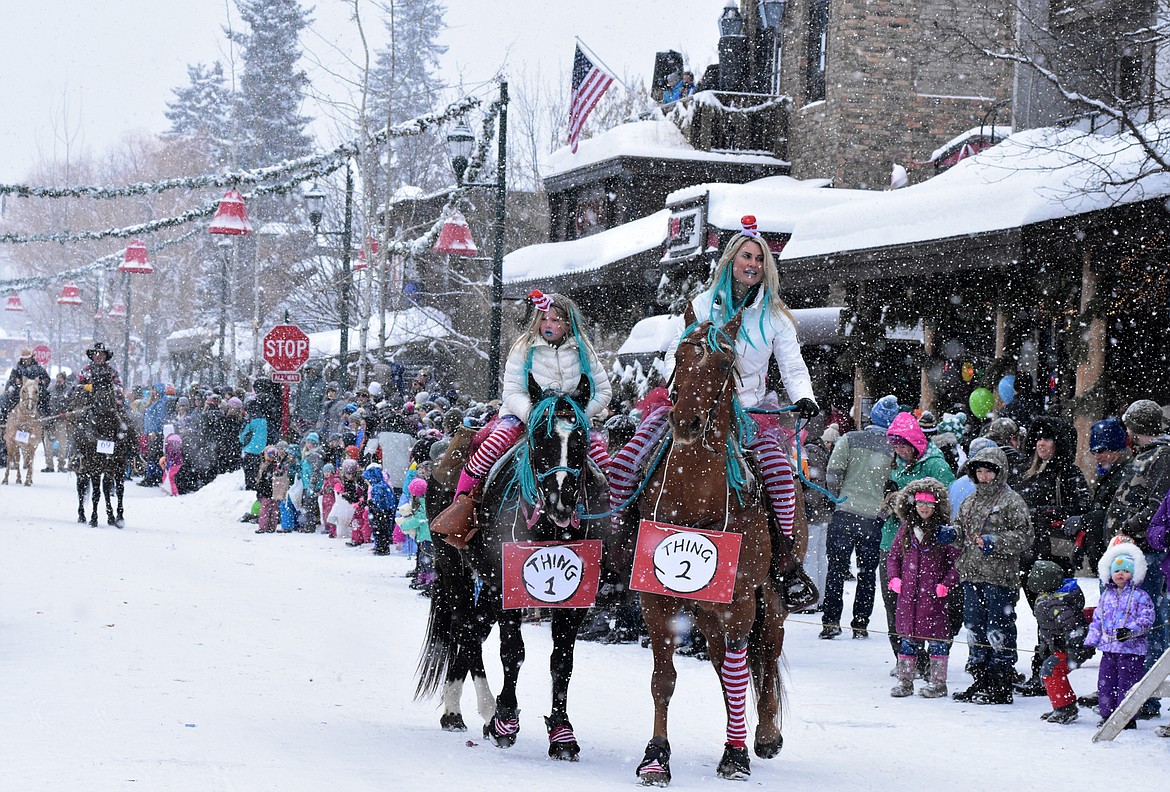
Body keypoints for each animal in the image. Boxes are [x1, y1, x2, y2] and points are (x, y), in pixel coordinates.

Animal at [631, 306, 786, 781]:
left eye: (723, 363)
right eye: (679, 356)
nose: (685, 422)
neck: (696, 493)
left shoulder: (739, 602)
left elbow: (743, 673)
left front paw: (736, 754)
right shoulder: (657, 599)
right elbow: (663, 679)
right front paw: (656, 757)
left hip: (767, 599)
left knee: (766, 651)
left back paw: (765, 734)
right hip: (706, 612)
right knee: (724, 666)